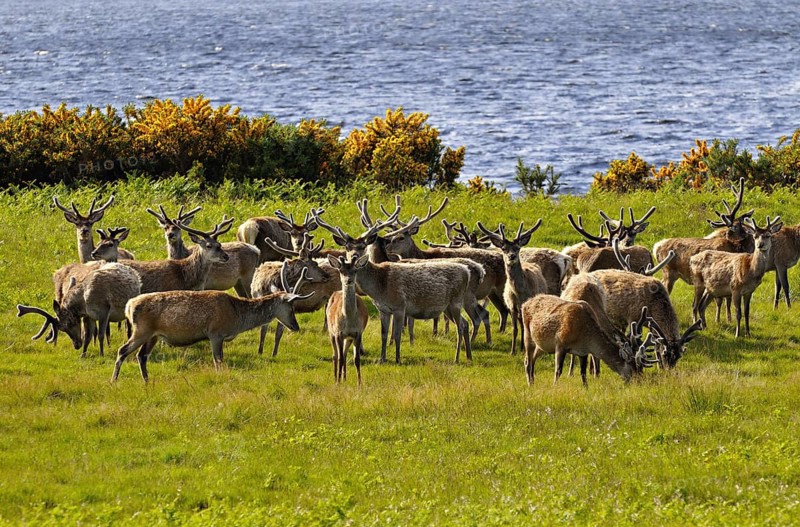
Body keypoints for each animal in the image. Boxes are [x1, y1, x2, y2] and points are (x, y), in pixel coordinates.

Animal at [111, 263, 314, 382]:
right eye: (291, 306)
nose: (296, 326)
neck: (237, 316)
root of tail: (129, 305)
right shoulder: (216, 333)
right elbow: (218, 361)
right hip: (142, 330)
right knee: (123, 350)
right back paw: (114, 380)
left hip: (153, 335)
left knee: (141, 356)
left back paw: (146, 381)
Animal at [326, 255, 370, 385]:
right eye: (341, 271)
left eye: (355, 270)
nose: (348, 280)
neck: (349, 320)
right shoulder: (338, 333)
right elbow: (340, 358)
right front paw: (338, 383)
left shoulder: (357, 333)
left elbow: (356, 359)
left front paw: (359, 383)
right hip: (331, 332)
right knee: (335, 355)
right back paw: (336, 377)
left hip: (348, 338)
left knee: (345, 354)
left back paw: (344, 377)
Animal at [477, 221, 548, 356]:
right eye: (504, 248)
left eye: (517, 247)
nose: (512, 256)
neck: (519, 293)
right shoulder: (512, 306)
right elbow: (515, 329)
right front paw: (513, 351)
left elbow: (525, 329)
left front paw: (524, 350)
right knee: (520, 325)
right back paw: (520, 347)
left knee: (525, 326)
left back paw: (524, 347)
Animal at [522, 297, 658, 386]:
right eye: (634, 368)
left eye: (640, 369)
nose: (640, 382)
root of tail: (525, 303)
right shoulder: (560, 344)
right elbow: (558, 371)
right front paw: (555, 386)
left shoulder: (583, 351)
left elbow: (583, 373)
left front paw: (586, 388)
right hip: (527, 334)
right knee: (527, 360)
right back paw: (529, 383)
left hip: (542, 345)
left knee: (533, 358)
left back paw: (532, 380)